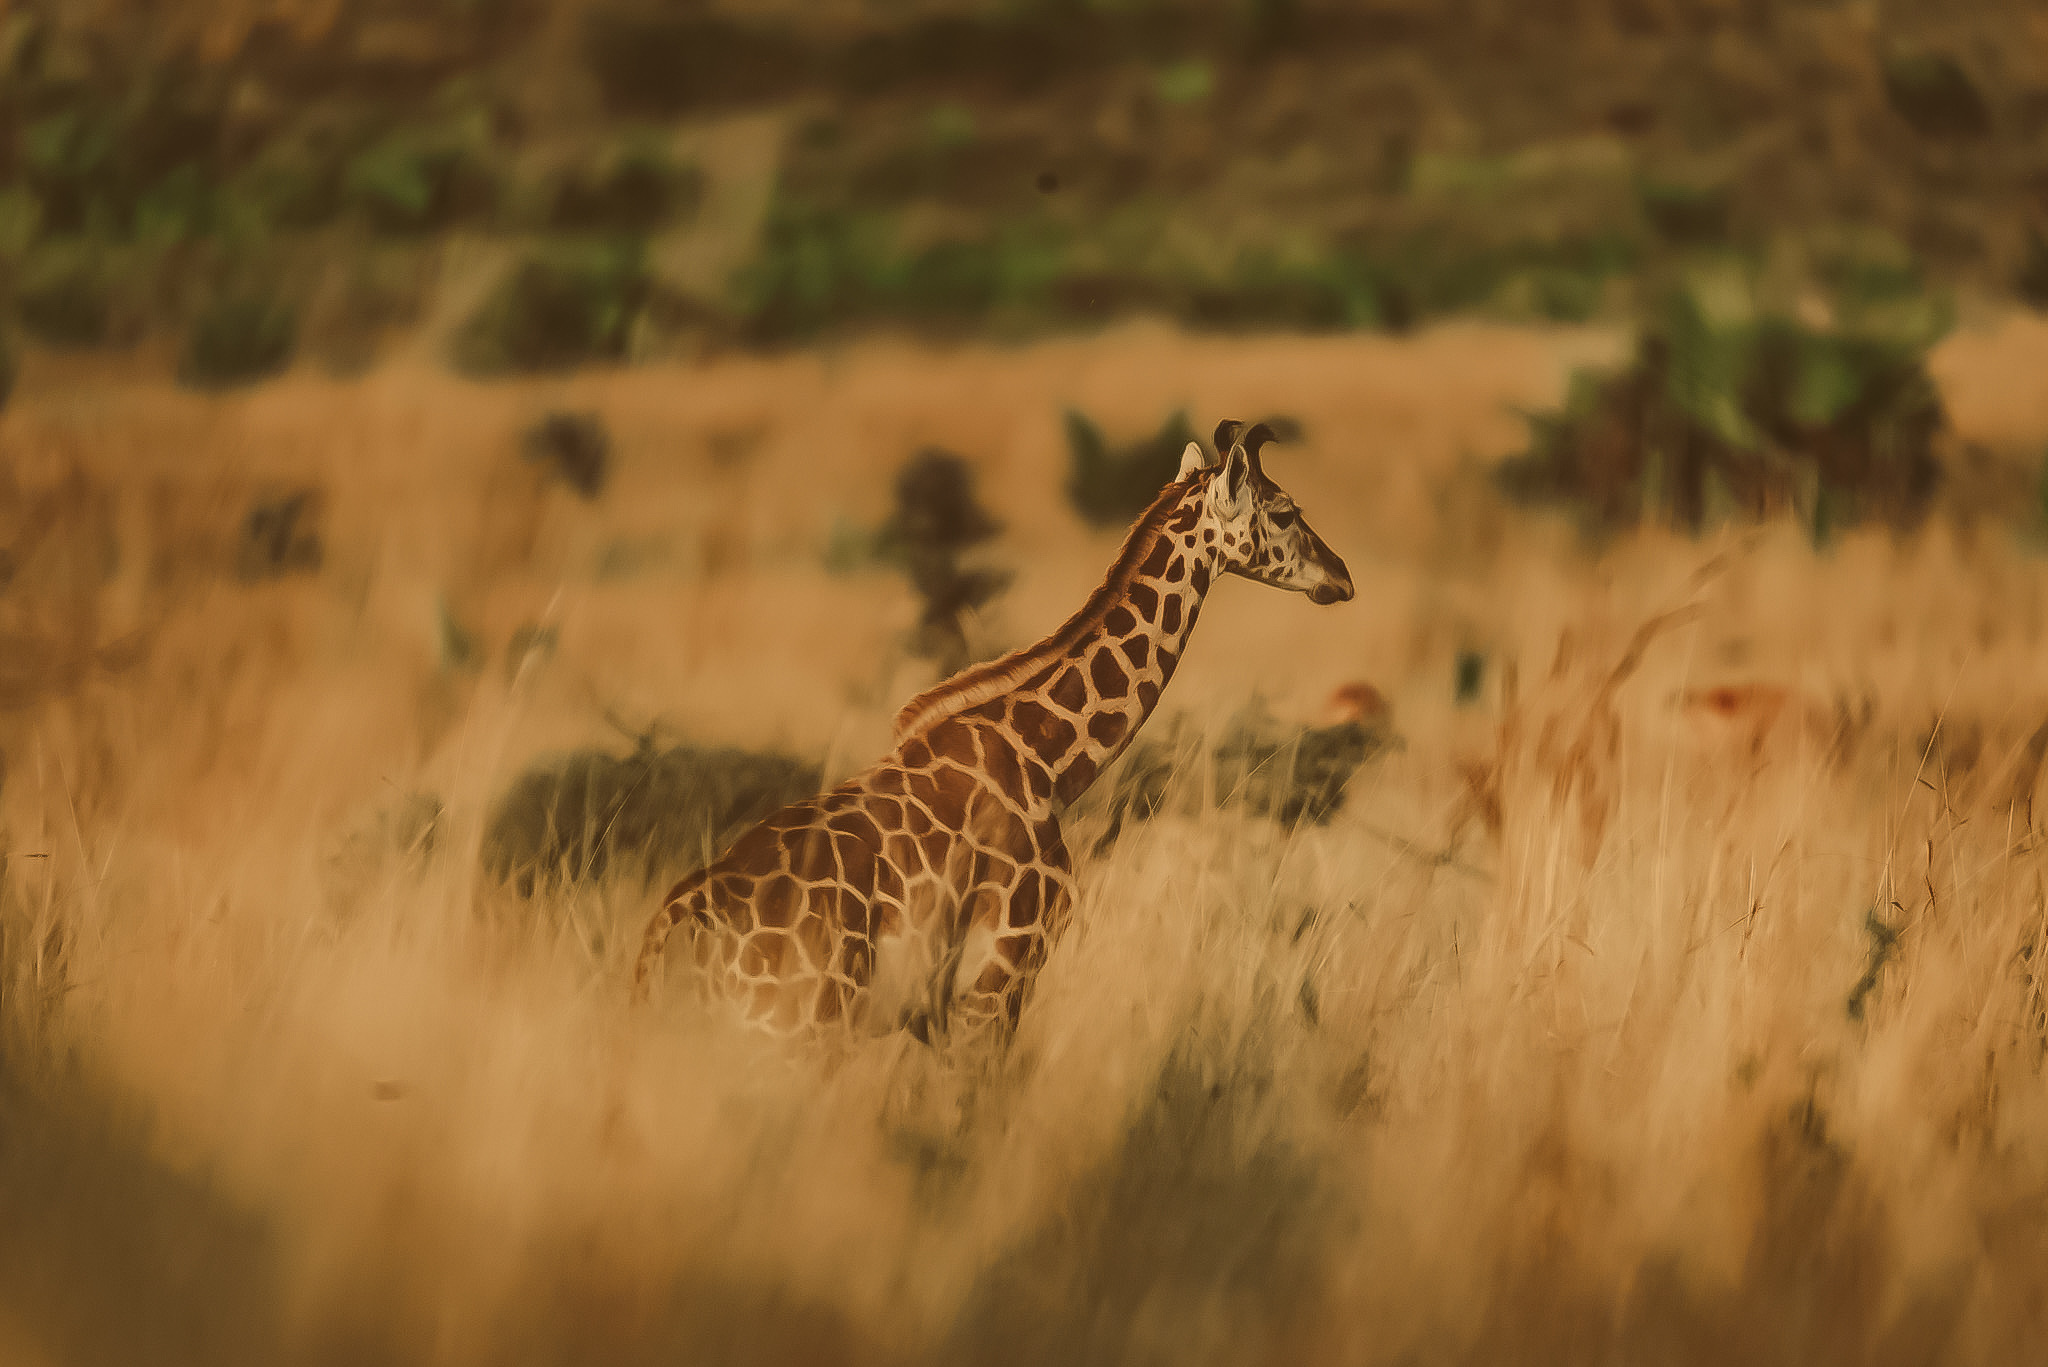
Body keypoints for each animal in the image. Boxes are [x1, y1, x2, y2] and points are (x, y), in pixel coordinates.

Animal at [632, 419, 1354, 1042]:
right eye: (1284, 511)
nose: (1342, 578)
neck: (1047, 756)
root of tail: (669, 931)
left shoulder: (933, 1013)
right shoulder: (1001, 976)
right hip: (790, 1032)